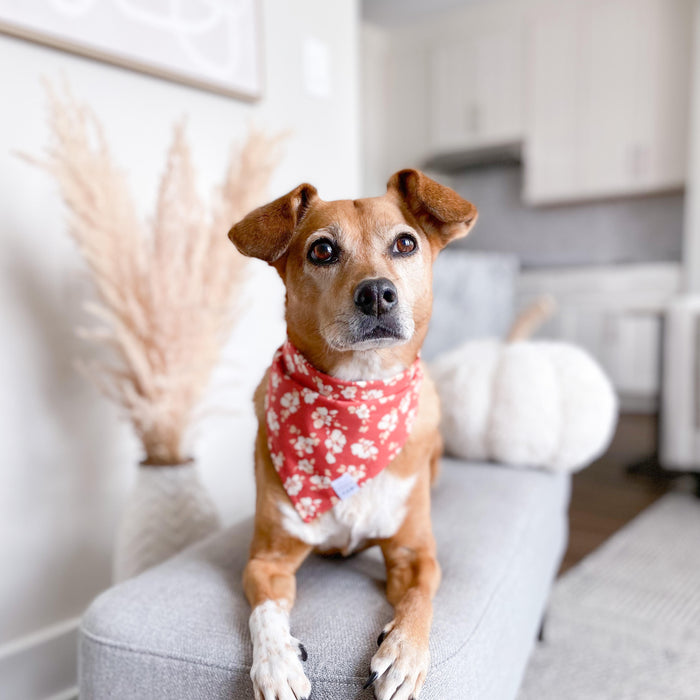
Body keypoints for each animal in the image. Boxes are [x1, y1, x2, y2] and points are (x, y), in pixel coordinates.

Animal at [228, 170, 476, 700]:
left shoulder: (415, 553)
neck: (356, 402)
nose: (377, 293)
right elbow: (265, 613)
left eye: (405, 243)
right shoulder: (266, 561)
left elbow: (420, 596)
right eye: (322, 250)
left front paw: (402, 653)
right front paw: (277, 663)